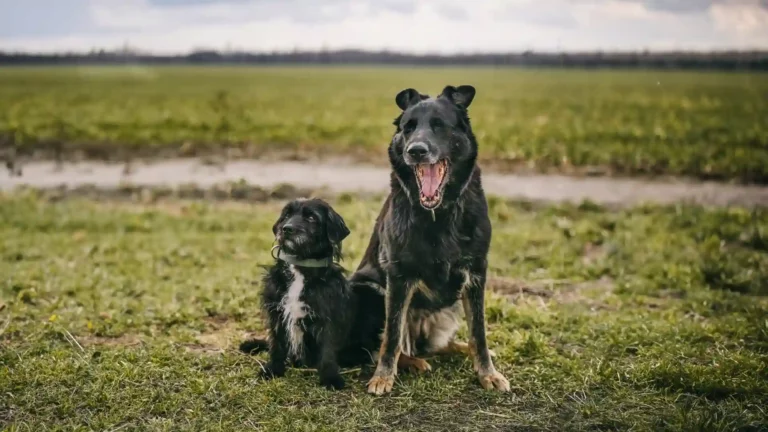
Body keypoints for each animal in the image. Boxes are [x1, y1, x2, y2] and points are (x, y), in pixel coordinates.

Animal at [240, 197, 356, 390]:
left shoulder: (328, 318)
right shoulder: (277, 313)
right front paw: (273, 370)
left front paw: (330, 378)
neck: (300, 267)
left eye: (311, 217)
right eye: (287, 215)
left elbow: (328, 350)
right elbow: (276, 345)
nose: (286, 229)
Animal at [350, 83, 510, 394]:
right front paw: (382, 377)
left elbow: (479, 333)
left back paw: (456, 350)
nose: (416, 151)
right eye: (408, 128)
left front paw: (487, 373)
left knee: (443, 344)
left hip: (450, 309)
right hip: (371, 291)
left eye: (438, 125)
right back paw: (412, 362)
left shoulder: (476, 273)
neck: (439, 213)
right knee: (388, 345)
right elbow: (391, 336)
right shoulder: (398, 276)